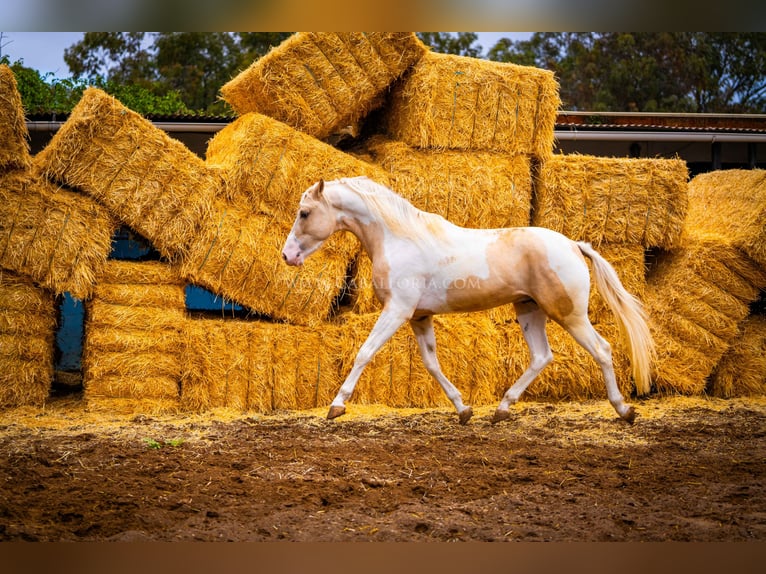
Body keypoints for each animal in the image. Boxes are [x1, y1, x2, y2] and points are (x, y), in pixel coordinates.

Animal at [282, 178, 656, 426]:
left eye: (304, 213)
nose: (287, 256)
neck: (399, 238)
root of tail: (574, 245)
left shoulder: (397, 310)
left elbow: (364, 352)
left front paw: (336, 406)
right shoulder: (419, 316)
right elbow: (432, 364)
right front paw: (463, 410)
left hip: (570, 314)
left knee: (602, 349)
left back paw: (624, 410)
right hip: (529, 310)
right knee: (541, 356)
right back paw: (502, 410)